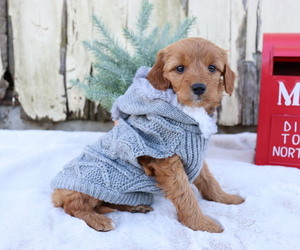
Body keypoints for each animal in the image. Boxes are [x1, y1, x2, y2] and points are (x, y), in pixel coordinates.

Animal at [51, 37, 244, 232]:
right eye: (180, 68)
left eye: (212, 67)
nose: (198, 88)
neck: (189, 114)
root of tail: (56, 193)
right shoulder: (165, 159)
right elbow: (185, 194)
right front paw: (200, 223)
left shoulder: (194, 155)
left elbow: (208, 179)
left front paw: (225, 198)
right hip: (93, 183)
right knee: (73, 206)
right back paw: (99, 220)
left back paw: (135, 207)